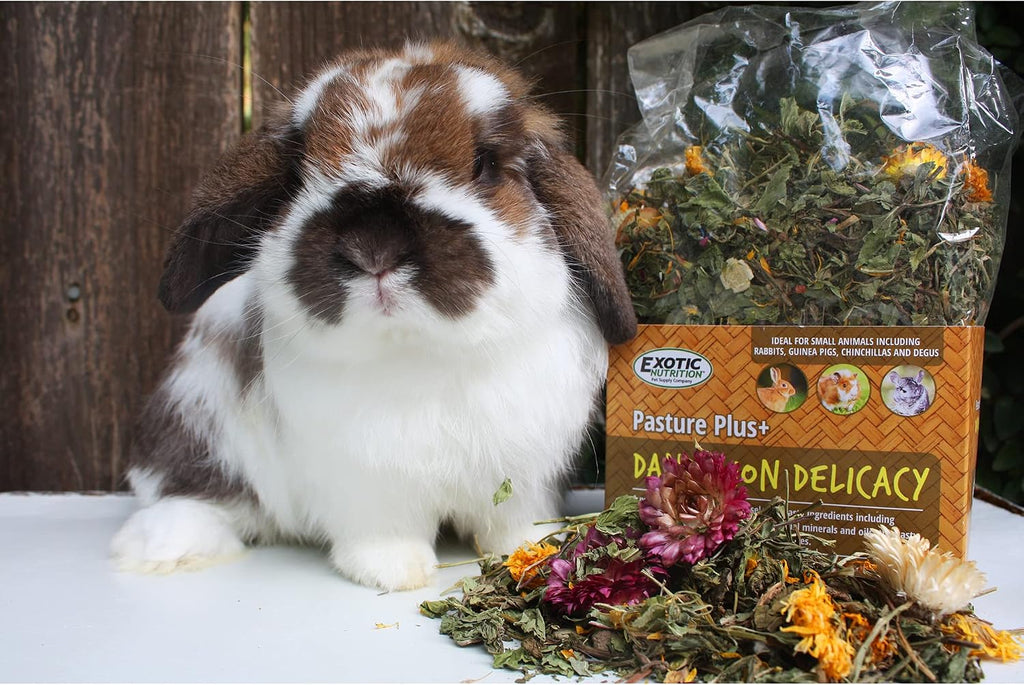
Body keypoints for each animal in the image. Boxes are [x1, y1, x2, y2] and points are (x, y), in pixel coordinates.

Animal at [110, 41, 637, 591]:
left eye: (485, 162)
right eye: (296, 174)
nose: (374, 247)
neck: (418, 354)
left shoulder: (525, 473)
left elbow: (514, 522)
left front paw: (532, 552)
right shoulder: (366, 486)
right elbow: (384, 533)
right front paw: (395, 573)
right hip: (191, 424)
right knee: (188, 495)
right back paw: (169, 552)